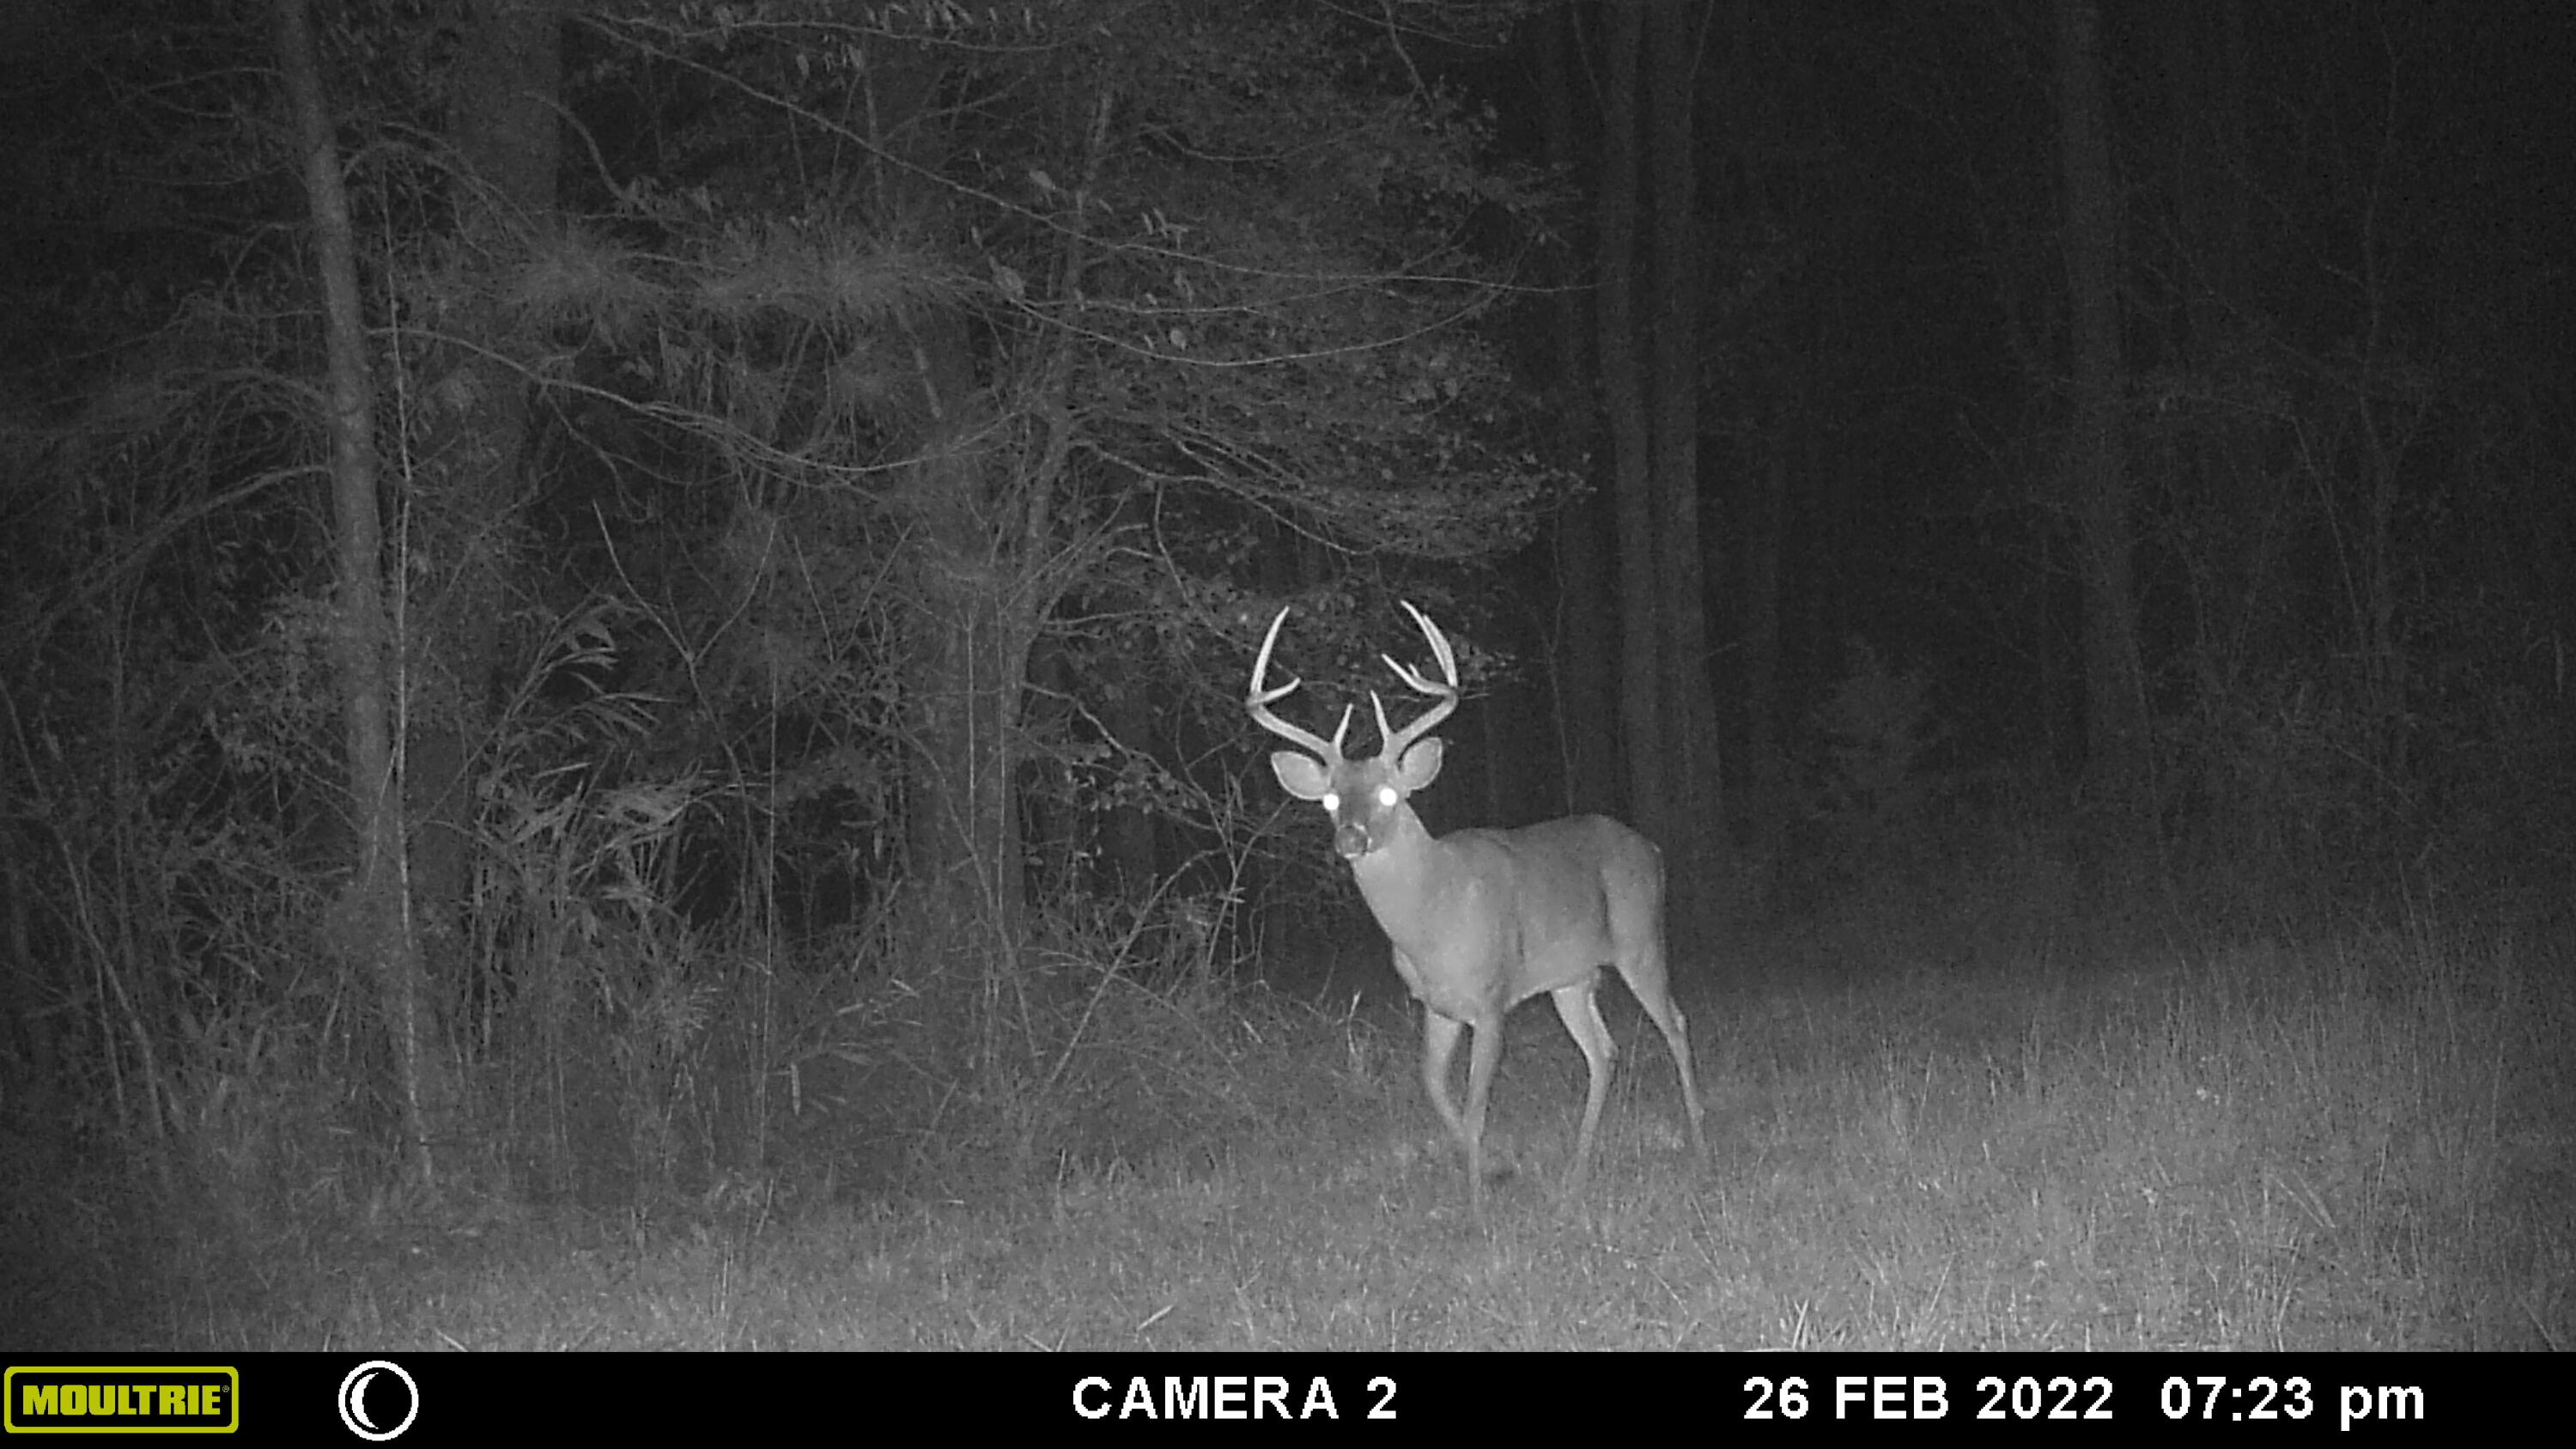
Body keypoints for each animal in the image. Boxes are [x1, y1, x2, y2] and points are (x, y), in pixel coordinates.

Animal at [1247, 601, 1709, 1217]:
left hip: (1640, 940)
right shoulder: (1438, 1006)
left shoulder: (1492, 1000)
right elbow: (1434, 1088)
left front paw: (1476, 1208)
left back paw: (1699, 1145)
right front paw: (1496, 1170)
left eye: (1391, 794)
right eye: (1329, 799)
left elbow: (1473, 1107)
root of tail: (1653, 848)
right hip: (1570, 977)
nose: (1350, 839)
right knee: (1603, 1052)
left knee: (1675, 1025)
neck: (1432, 919)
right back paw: (1576, 1176)